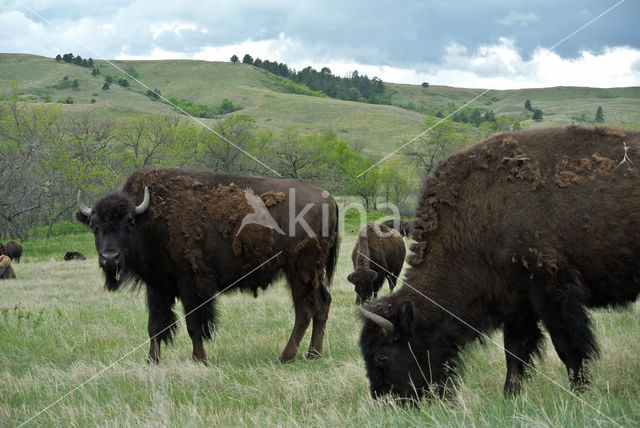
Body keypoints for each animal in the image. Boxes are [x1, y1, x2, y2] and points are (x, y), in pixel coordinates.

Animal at [360, 125, 640, 400]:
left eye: (381, 356)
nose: (384, 399)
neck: (479, 216)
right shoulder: (515, 302)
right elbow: (514, 352)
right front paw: (509, 397)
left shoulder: (553, 293)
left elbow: (568, 348)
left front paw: (581, 395)